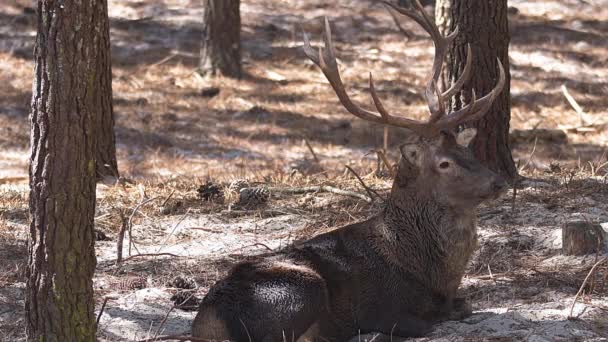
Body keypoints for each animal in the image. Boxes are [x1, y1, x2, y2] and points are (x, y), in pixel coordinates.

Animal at [192, 1, 506, 340]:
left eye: (467, 151)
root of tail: (207, 322)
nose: (498, 182)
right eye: (444, 163)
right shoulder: (379, 308)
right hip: (299, 287)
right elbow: (429, 320)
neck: (429, 272)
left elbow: (465, 305)